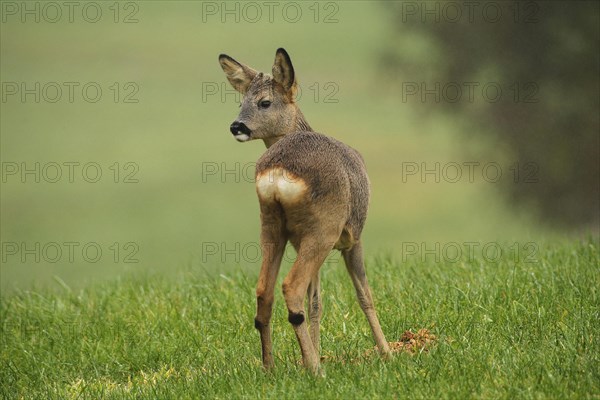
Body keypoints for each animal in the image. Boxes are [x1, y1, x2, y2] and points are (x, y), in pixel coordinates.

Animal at [218, 48, 392, 374]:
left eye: (263, 102)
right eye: (241, 102)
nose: (237, 126)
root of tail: (277, 173)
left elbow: (317, 303)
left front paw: (315, 351)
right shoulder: (354, 236)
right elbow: (364, 295)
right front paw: (387, 353)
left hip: (272, 225)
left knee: (264, 291)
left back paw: (271, 367)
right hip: (323, 228)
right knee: (291, 287)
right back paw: (315, 370)